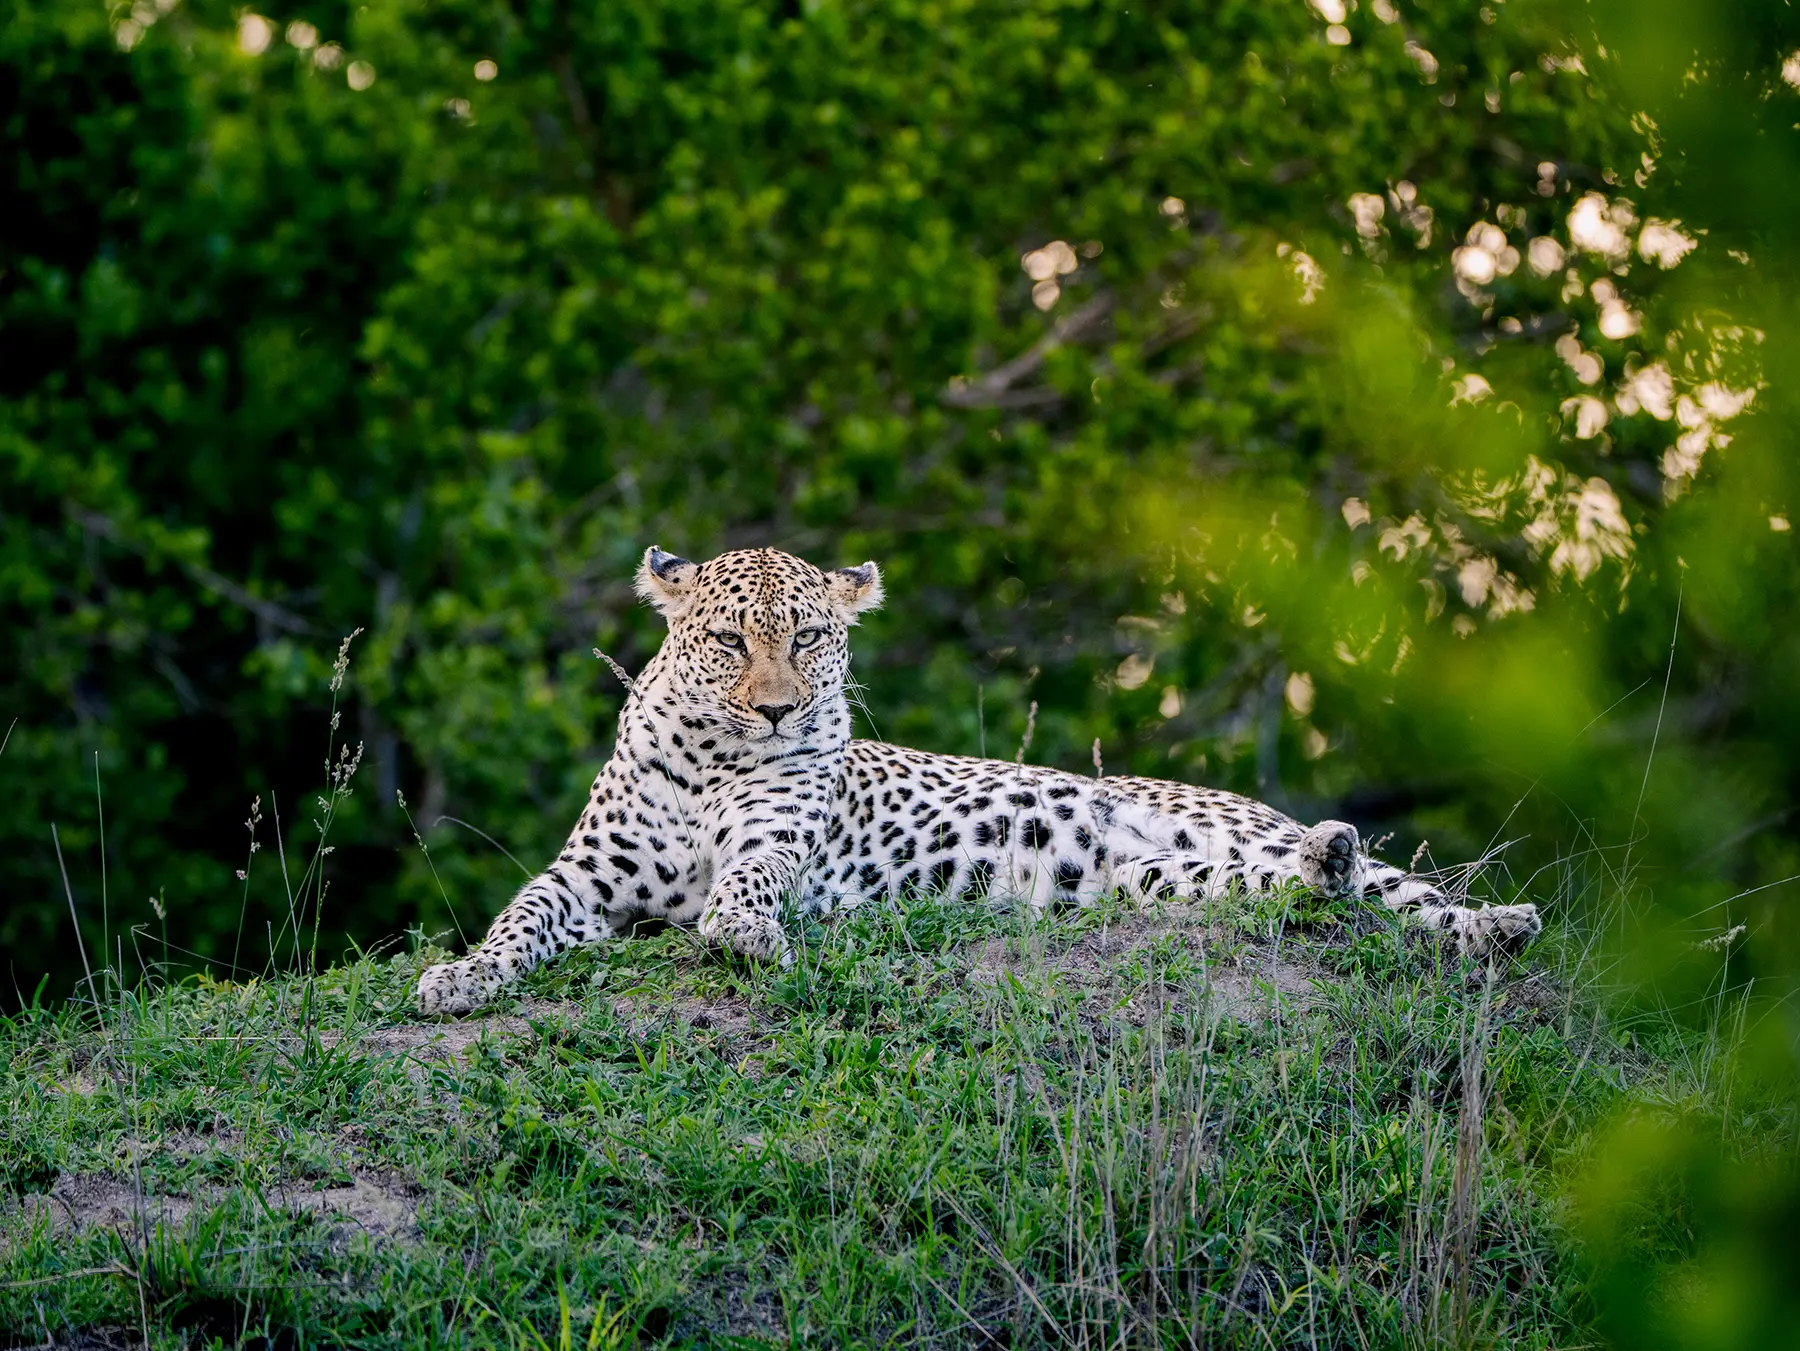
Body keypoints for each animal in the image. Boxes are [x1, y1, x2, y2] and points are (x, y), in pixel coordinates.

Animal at [416, 546, 1541, 1015]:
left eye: (810, 638)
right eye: (730, 640)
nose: (776, 709)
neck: (708, 759)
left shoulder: (776, 845)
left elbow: (746, 882)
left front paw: (743, 932)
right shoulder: (582, 879)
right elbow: (518, 916)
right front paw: (459, 977)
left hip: (1232, 838)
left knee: (1410, 898)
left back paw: (1493, 919)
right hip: (1168, 882)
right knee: (1319, 894)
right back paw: (1344, 869)